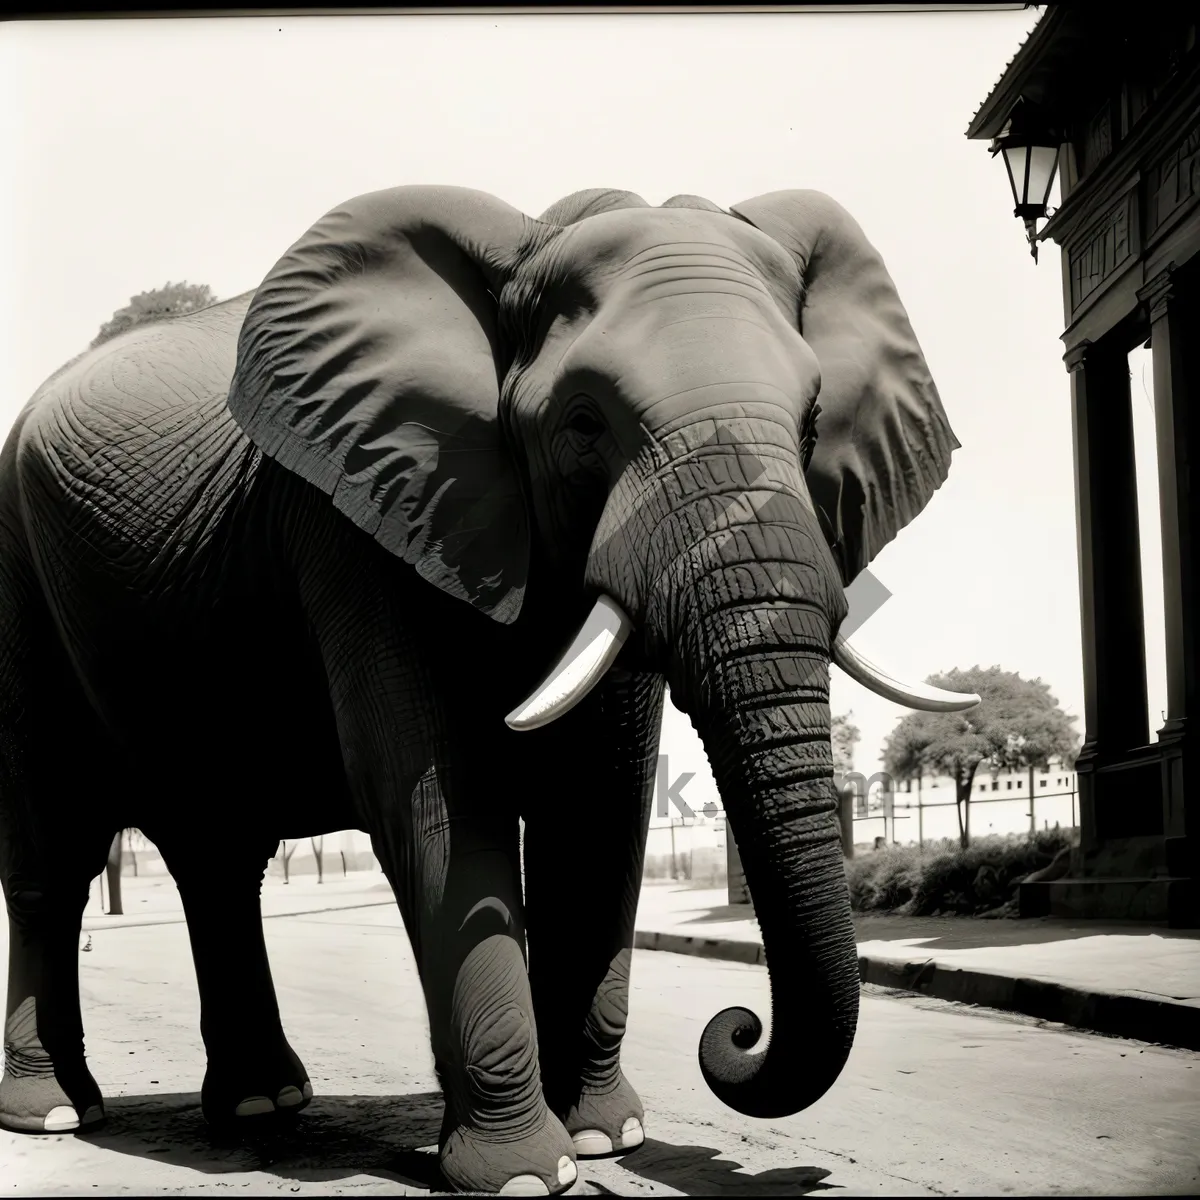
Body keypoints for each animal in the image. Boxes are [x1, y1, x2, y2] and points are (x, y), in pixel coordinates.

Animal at [0, 182, 974, 1195]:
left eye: (815, 421)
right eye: (583, 423)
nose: (737, 1029)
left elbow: (596, 808)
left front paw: (607, 1139)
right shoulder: (356, 518)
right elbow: (433, 797)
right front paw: (526, 1175)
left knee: (216, 858)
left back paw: (263, 1103)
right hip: (19, 586)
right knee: (51, 857)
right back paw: (57, 1112)